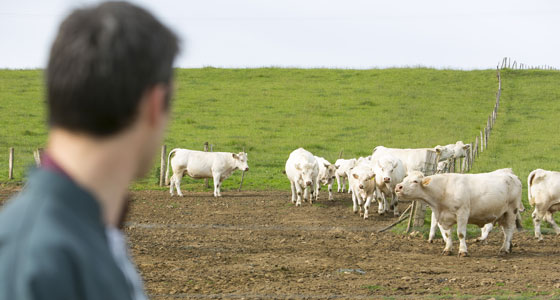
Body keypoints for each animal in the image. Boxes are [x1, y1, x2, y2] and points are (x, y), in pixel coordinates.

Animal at [396, 169, 524, 255]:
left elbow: (461, 234)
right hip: (502, 214)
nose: (398, 187)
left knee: (509, 229)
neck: (444, 190)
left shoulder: (462, 213)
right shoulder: (444, 217)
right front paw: (447, 249)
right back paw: (509, 246)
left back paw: (504, 249)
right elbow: (448, 234)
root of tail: (511, 175)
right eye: (404, 179)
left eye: (415, 181)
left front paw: (463, 251)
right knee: (505, 231)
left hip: (511, 211)